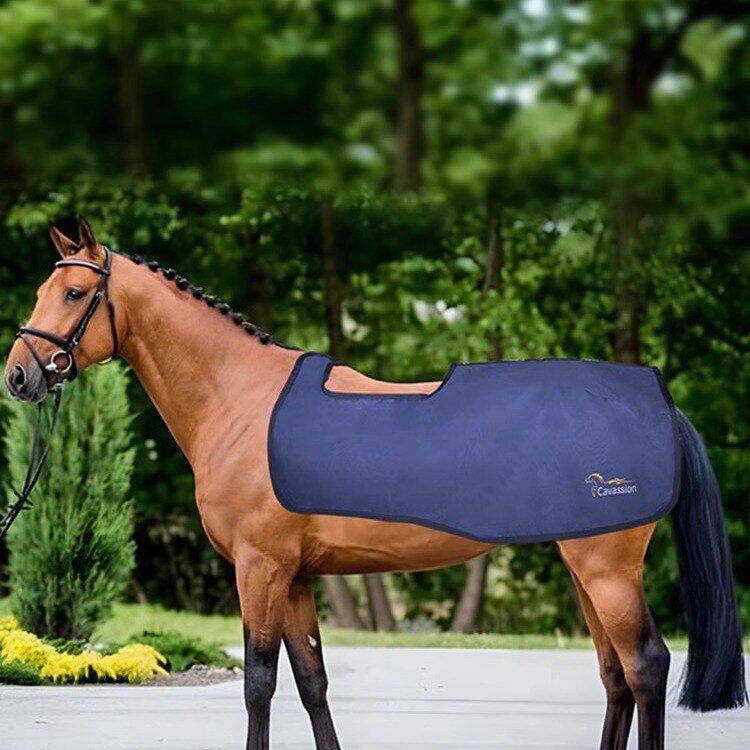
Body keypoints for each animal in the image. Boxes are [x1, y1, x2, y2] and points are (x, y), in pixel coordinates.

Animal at [4, 221, 746, 750]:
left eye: (74, 294)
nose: (18, 375)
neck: (237, 399)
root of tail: (656, 400)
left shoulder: (259, 568)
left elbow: (259, 683)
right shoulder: (296, 577)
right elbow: (311, 682)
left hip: (607, 568)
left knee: (646, 667)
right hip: (581, 563)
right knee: (615, 675)